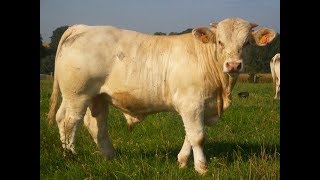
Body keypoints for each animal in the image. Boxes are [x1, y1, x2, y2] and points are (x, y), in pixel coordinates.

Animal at [48, 17, 278, 174]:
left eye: (246, 43)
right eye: (220, 42)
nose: (233, 65)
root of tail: (82, 27)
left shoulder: (200, 106)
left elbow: (190, 135)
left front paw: (183, 161)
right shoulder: (191, 103)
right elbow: (198, 136)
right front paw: (202, 167)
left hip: (94, 97)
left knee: (92, 124)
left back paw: (109, 156)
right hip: (78, 94)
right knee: (70, 121)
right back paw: (71, 156)